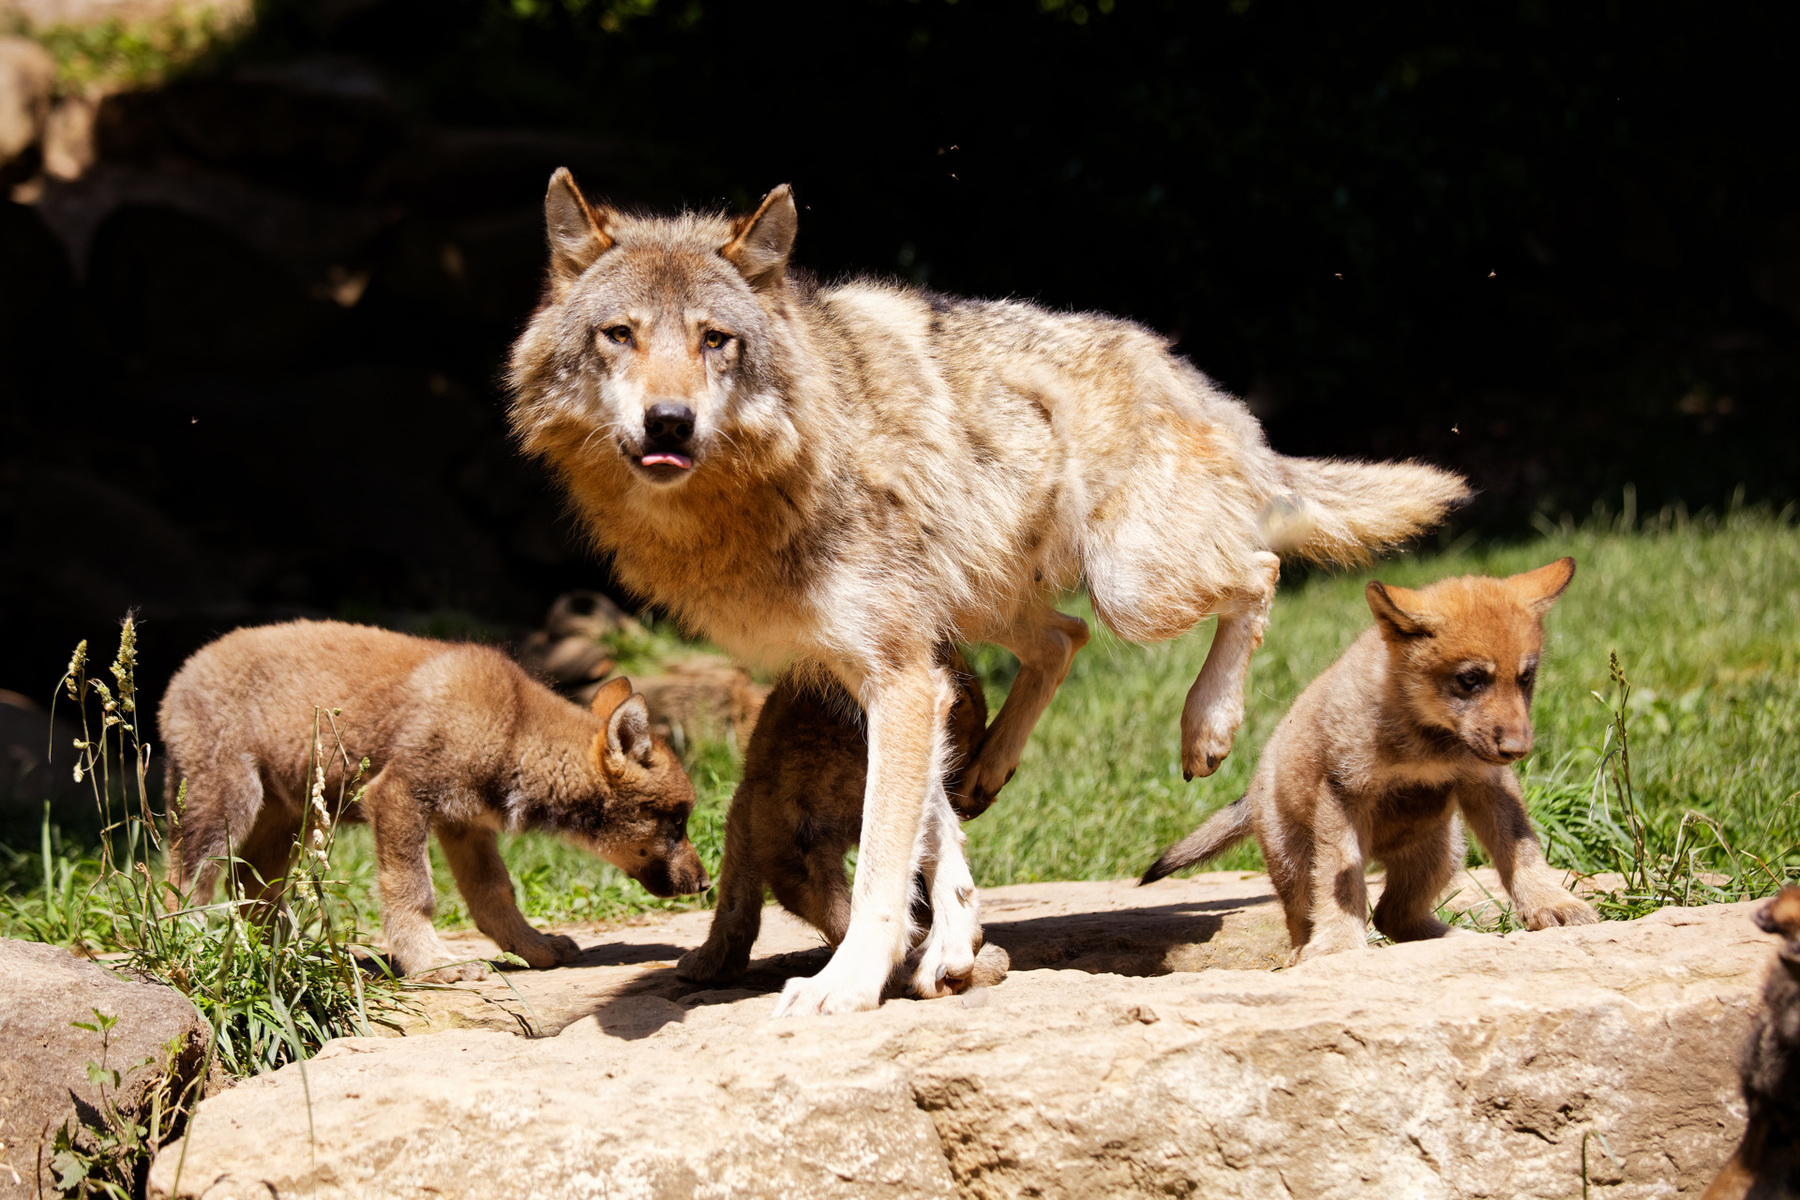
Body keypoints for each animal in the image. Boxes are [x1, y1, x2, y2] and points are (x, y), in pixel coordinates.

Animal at [158, 626, 702, 978]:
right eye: (677, 823)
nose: (703, 883)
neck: (512, 730)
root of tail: (184, 669)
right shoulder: (398, 798)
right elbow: (413, 893)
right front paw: (431, 964)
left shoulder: (466, 826)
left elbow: (494, 895)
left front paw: (533, 947)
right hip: (228, 803)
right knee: (185, 882)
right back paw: (191, 947)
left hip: (286, 816)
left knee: (255, 889)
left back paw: (288, 956)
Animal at [1144, 557, 1598, 964]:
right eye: (1470, 679)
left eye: (1526, 678)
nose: (1518, 750)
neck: (1426, 738)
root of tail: (1252, 790)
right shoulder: (1344, 793)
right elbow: (1343, 883)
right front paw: (1339, 945)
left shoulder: (1487, 783)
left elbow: (1521, 849)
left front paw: (1553, 903)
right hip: (1295, 862)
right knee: (1307, 918)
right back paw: (1303, 952)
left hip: (1441, 852)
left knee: (1392, 917)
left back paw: (1460, 939)